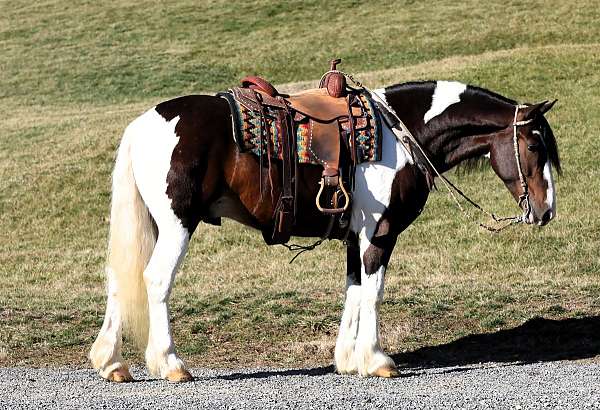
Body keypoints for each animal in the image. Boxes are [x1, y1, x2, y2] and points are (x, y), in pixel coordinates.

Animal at [89, 78, 564, 382]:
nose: (545, 212)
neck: (403, 133)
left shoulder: (355, 237)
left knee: (118, 280)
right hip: (177, 223)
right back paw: (171, 364)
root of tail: (143, 125)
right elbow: (373, 292)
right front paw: (376, 359)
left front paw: (348, 359)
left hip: (153, 224)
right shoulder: (379, 232)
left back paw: (111, 363)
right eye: (534, 144)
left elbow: (353, 290)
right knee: (155, 280)